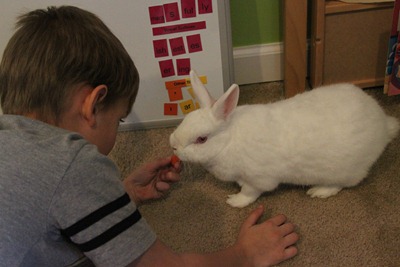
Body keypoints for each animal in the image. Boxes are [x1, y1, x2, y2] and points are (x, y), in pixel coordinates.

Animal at [170, 70, 400, 208]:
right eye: (185, 119)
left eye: (201, 139)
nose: (173, 145)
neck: (229, 140)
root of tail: (382, 123)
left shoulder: (258, 179)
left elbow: (250, 193)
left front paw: (235, 201)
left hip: (344, 170)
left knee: (343, 183)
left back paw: (319, 191)